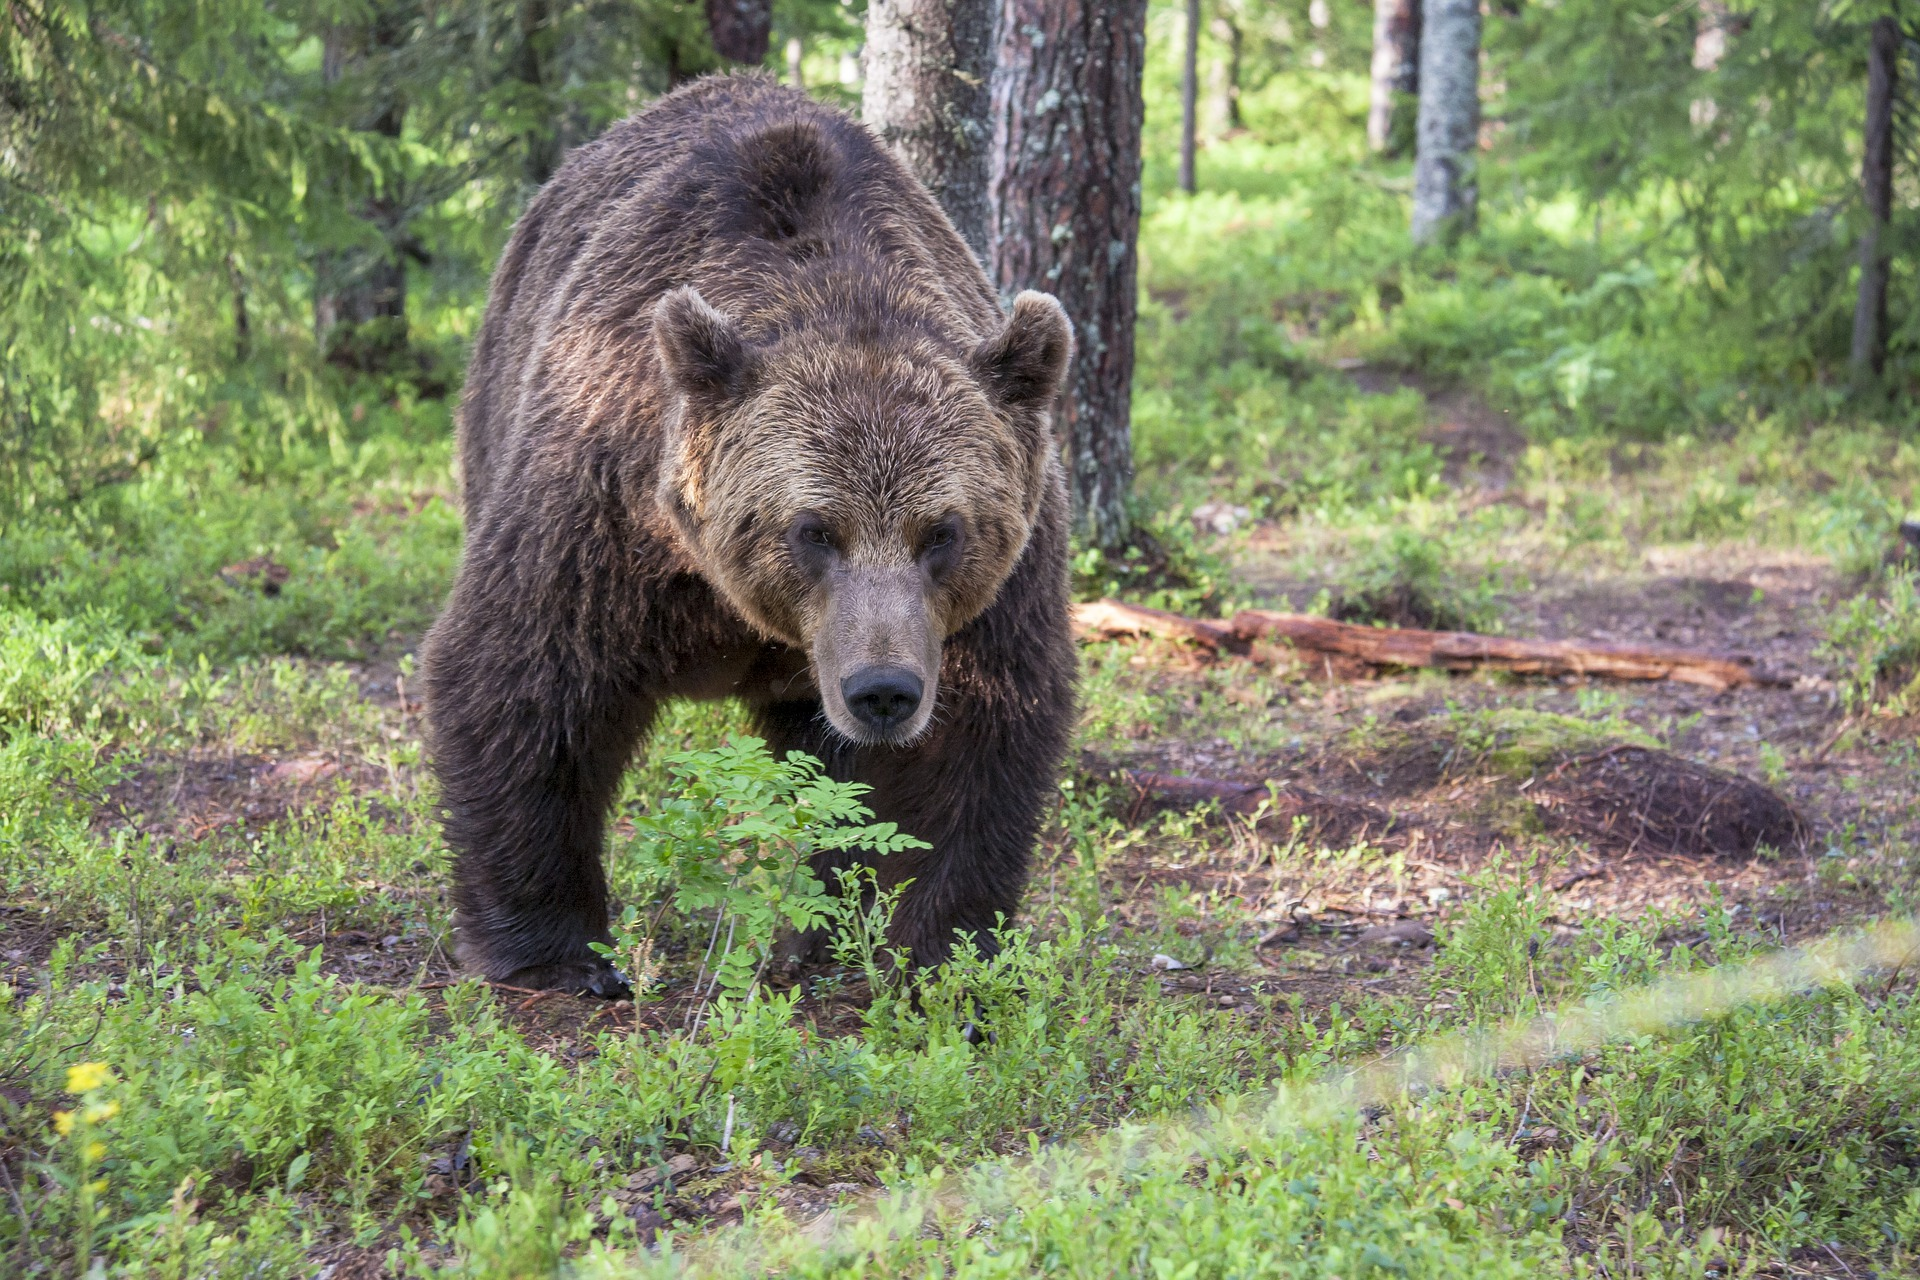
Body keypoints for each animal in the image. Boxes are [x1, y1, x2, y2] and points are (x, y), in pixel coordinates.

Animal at [420, 75, 1082, 997]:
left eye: (942, 532)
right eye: (813, 529)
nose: (882, 690)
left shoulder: (991, 588)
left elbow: (973, 736)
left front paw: (936, 947)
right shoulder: (605, 508)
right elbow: (525, 676)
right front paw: (555, 950)